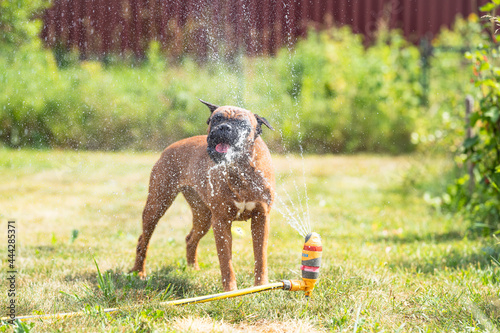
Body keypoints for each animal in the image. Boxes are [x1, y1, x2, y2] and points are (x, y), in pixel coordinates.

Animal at [131, 99, 276, 290]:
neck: (239, 168)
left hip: (203, 217)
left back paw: (193, 269)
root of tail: (170, 147)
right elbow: (226, 262)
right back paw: (138, 272)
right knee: (143, 240)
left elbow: (261, 257)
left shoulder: (261, 218)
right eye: (216, 119)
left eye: (242, 123)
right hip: (157, 206)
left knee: (190, 239)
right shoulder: (221, 222)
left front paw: (260, 286)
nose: (223, 127)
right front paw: (230, 291)